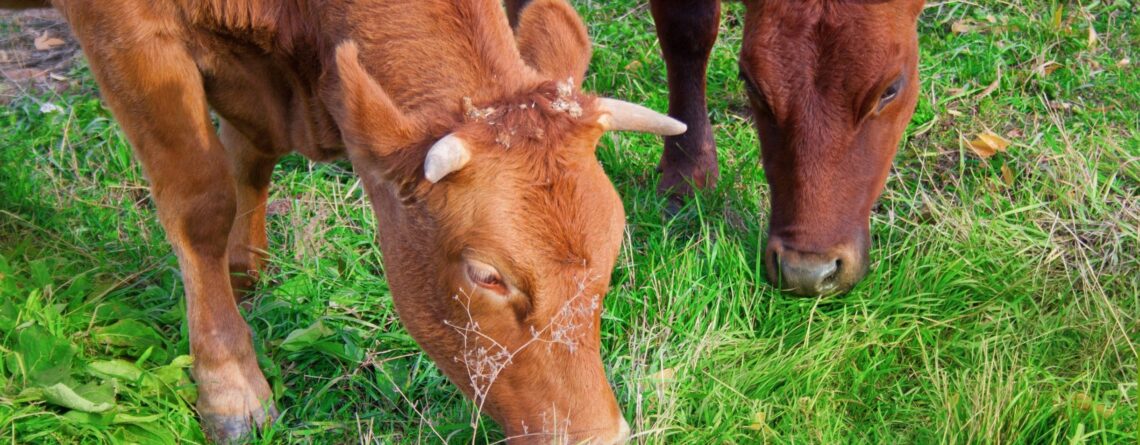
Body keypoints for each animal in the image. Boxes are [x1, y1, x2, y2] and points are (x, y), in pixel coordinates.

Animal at [6, 0, 686, 443]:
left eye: (611, 253)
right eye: (487, 275)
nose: (598, 436)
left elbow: (249, 157)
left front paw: (242, 278)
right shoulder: (126, 34)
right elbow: (200, 201)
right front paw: (231, 387)